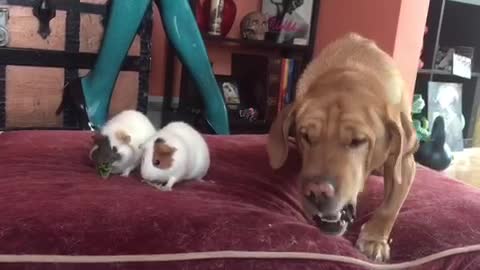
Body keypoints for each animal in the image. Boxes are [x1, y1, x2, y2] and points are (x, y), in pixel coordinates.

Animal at [268, 32, 418, 262]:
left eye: (358, 140)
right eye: (306, 136)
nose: (317, 191)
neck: (352, 69)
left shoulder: (405, 162)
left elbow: (390, 206)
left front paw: (374, 239)